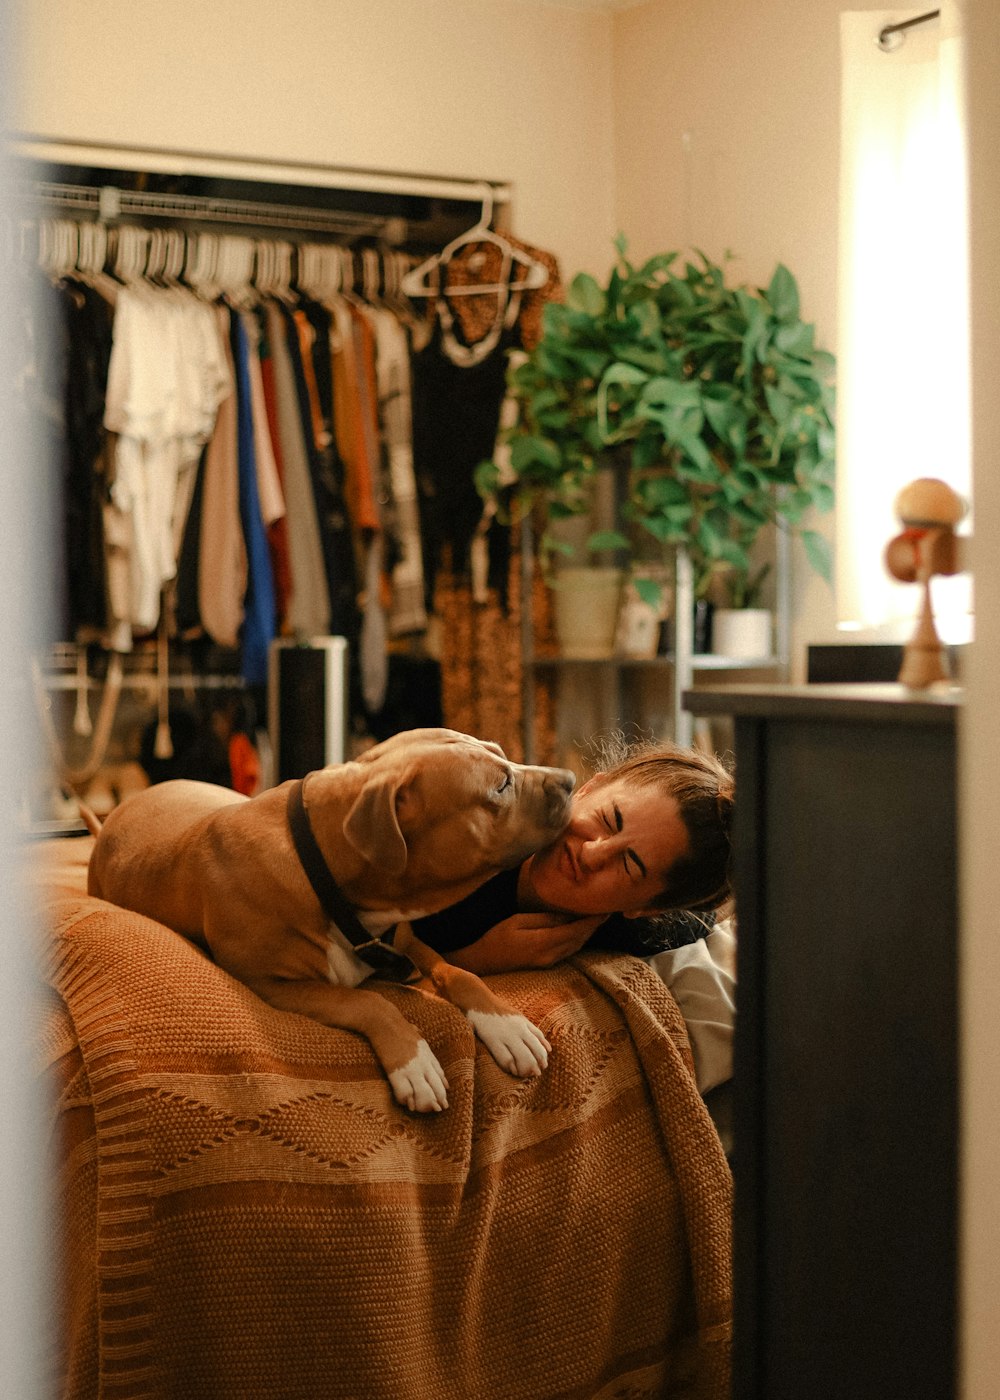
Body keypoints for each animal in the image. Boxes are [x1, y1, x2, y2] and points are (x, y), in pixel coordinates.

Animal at [89, 728, 571, 1108]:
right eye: (501, 786)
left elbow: (460, 974)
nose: (569, 779)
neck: (322, 866)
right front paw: (413, 1060)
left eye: (504, 755)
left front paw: (507, 1025)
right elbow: (368, 1002)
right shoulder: (276, 984)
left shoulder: (407, 943)